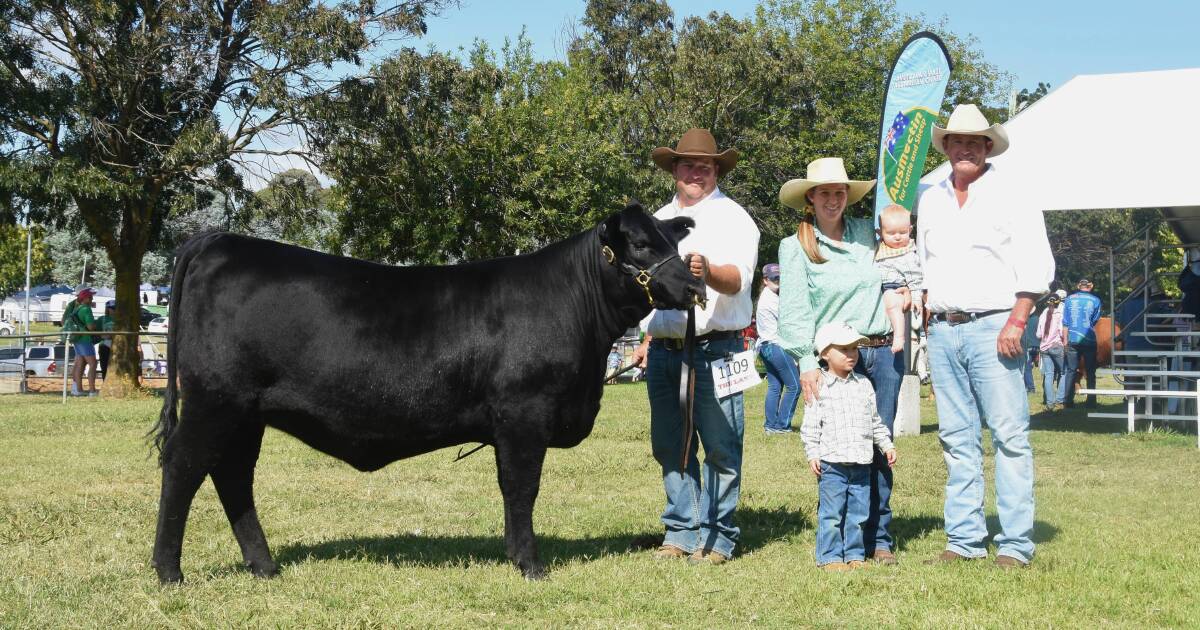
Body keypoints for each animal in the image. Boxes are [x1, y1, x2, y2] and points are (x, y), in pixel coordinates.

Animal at [154, 204, 705, 583]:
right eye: (639, 244)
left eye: (672, 242)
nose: (695, 288)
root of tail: (219, 242)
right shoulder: (524, 413)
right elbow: (522, 488)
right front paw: (530, 564)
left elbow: (513, 489)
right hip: (214, 402)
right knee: (183, 467)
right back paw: (168, 571)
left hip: (247, 413)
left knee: (232, 476)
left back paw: (264, 566)